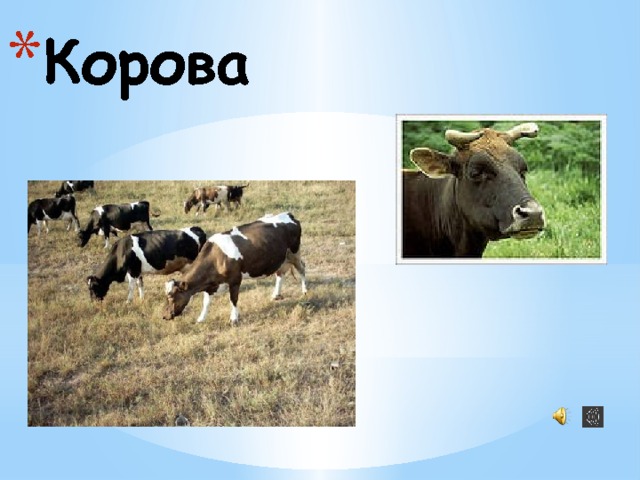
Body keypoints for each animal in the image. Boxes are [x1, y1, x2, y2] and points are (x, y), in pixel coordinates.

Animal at [163, 212, 307, 324]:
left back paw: (305, 291)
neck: (216, 257)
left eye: (171, 297)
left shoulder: (235, 280)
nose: (165, 316)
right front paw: (201, 318)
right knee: (280, 273)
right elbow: (206, 302)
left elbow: (233, 299)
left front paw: (234, 319)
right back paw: (276, 295)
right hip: (281, 258)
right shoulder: (211, 284)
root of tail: (288, 215)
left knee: (302, 268)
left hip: (294, 252)